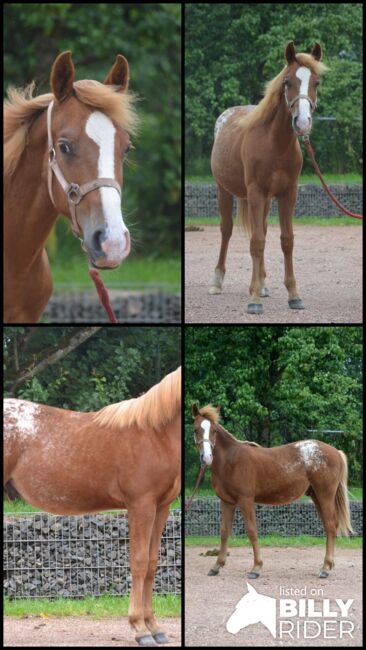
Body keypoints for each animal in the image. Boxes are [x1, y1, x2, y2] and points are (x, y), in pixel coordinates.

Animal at [2, 364, 180, 644]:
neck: (155, 433)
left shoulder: (162, 506)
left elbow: (152, 563)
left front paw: (154, 627)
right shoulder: (141, 506)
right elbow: (139, 562)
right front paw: (139, 628)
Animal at [192, 404, 354, 576]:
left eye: (214, 431)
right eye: (196, 429)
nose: (206, 457)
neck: (232, 461)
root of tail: (336, 452)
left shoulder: (245, 500)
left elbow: (252, 531)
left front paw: (256, 567)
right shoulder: (227, 501)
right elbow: (224, 532)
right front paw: (217, 565)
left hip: (325, 496)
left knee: (330, 526)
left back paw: (325, 568)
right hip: (316, 496)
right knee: (329, 526)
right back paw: (328, 565)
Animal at [209, 41, 328, 314]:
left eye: (316, 82)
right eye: (287, 81)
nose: (302, 123)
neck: (274, 144)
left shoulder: (287, 193)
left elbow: (286, 240)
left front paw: (293, 295)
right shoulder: (255, 192)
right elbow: (256, 241)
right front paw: (253, 300)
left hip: (265, 200)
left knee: (261, 227)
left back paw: (262, 285)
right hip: (224, 189)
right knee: (226, 230)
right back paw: (217, 281)